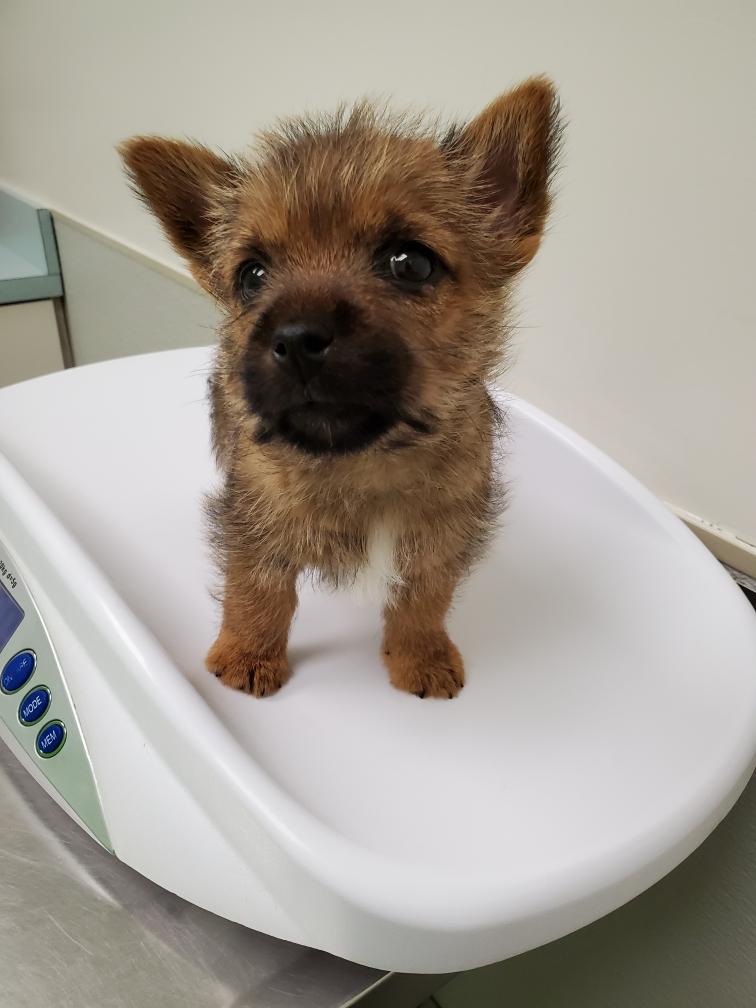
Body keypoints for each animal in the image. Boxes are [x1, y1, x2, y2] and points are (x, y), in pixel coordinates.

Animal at [119, 76, 561, 700]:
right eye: (251, 275)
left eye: (410, 263)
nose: (296, 340)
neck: (363, 465)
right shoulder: (255, 521)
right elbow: (258, 589)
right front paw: (247, 656)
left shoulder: (441, 535)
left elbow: (423, 600)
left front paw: (421, 658)